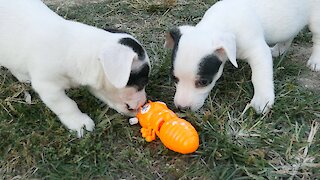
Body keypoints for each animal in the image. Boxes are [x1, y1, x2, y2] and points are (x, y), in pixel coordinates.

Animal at [0, 0, 151, 138]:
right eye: (142, 80)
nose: (144, 104)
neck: (74, 50)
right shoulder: (48, 87)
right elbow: (67, 104)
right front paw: (79, 122)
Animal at [165, 0, 320, 112]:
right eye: (174, 78)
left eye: (203, 82)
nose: (182, 108)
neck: (221, 23)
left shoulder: (258, 51)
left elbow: (259, 77)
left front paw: (262, 100)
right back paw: (279, 50)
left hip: (316, 19)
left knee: (317, 38)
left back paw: (315, 61)